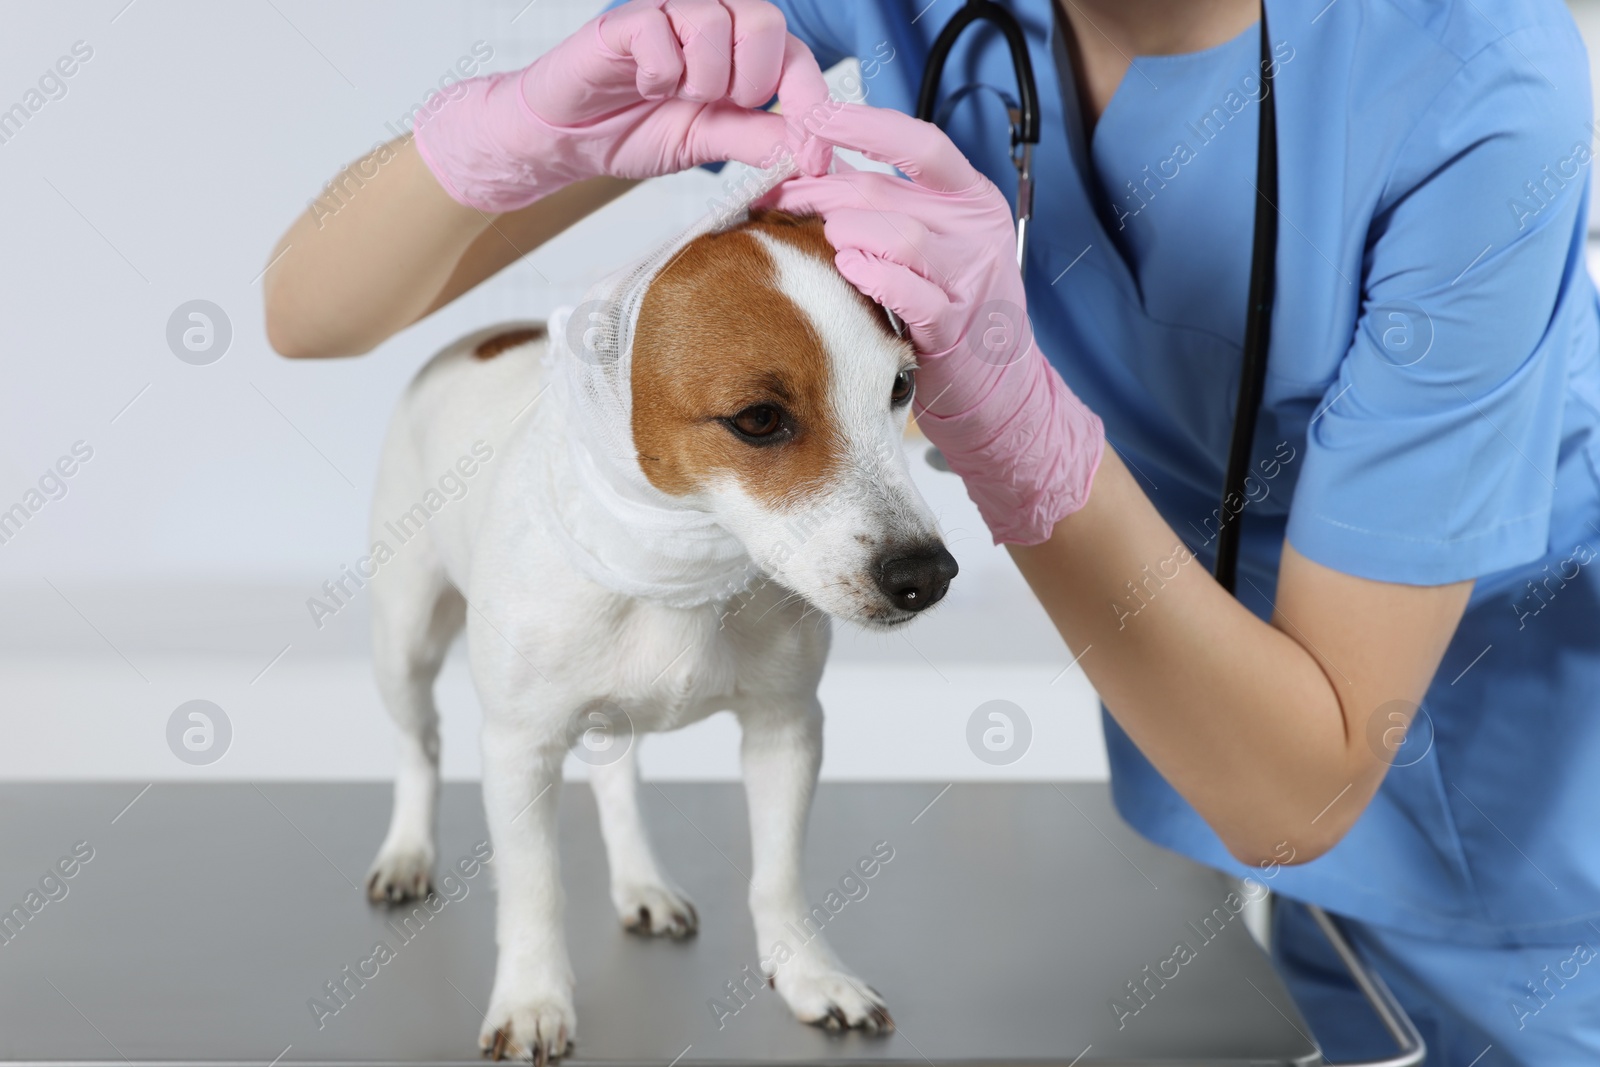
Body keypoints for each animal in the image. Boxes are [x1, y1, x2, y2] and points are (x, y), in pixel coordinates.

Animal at [361, 206, 953, 1062]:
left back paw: (641, 883)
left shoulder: (785, 729)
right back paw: (407, 851)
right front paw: (533, 998)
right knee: (419, 746)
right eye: (758, 419)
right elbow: (534, 890)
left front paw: (808, 974)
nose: (927, 574)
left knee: (616, 780)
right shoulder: (517, 746)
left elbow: (777, 876)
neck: (681, 555)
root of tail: (481, 335)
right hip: (403, 643)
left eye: (901, 387)